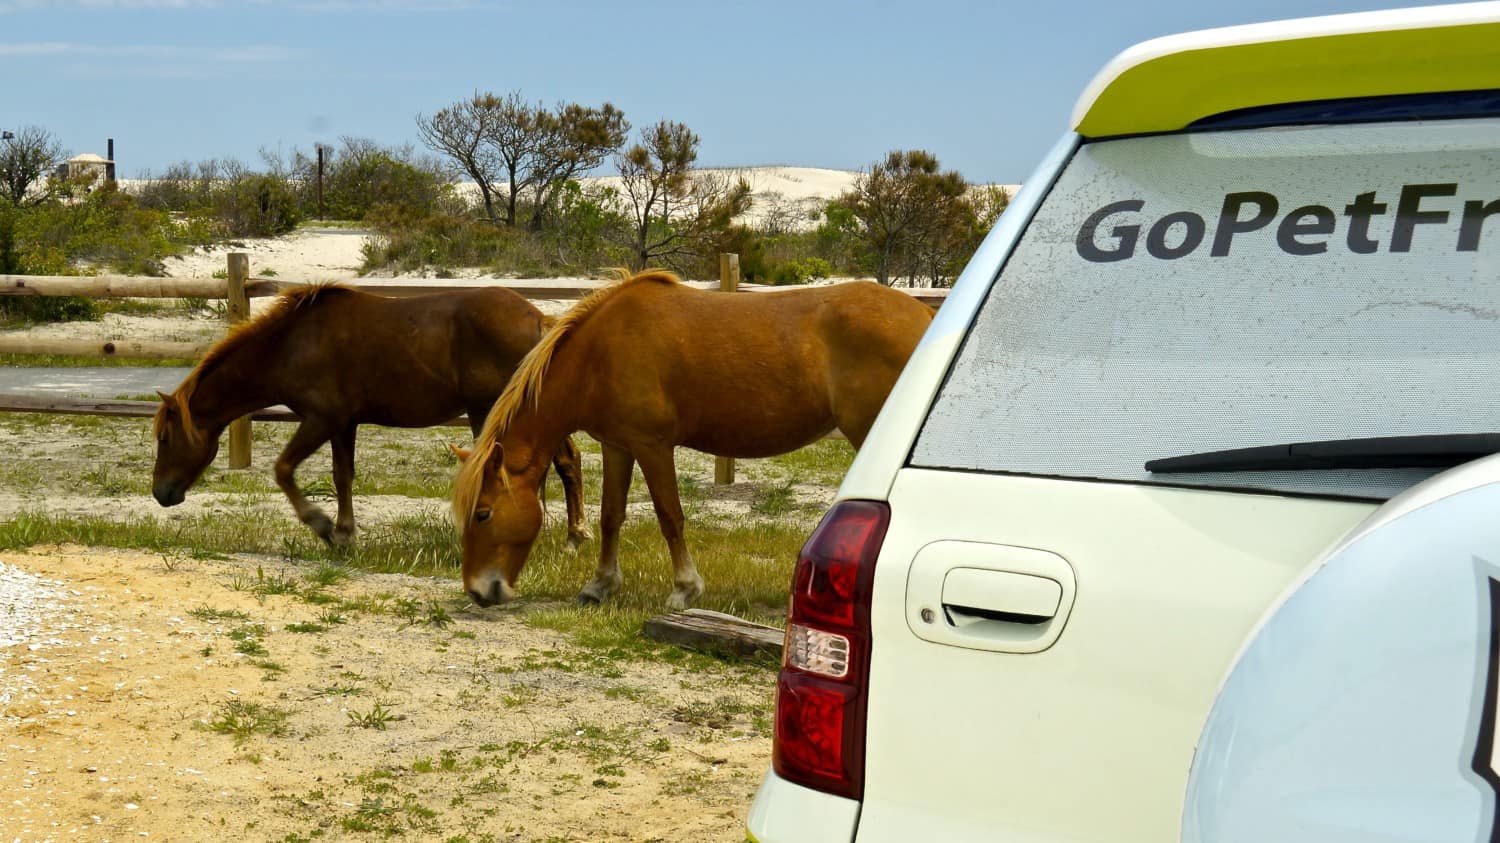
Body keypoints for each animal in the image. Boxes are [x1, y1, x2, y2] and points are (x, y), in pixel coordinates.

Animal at [153, 283, 591, 546]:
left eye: (164, 437)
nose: (161, 493)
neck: (291, 343)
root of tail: (540, 320)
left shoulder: (320, 419)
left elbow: (283, 469)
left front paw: (323, 526)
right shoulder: (343, 424)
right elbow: (342, 477)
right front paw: (345, 533)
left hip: (493, 412)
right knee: (567, 462)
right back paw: (575, 534)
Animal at [450, 273, 930, 606]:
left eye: (483, 514)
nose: (478, 591)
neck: (599, 353)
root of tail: (924, 315)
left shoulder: (653, 446)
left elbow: (670, 516)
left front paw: (684, 588)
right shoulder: (617, 446)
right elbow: (610, 516)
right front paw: (600, 585)